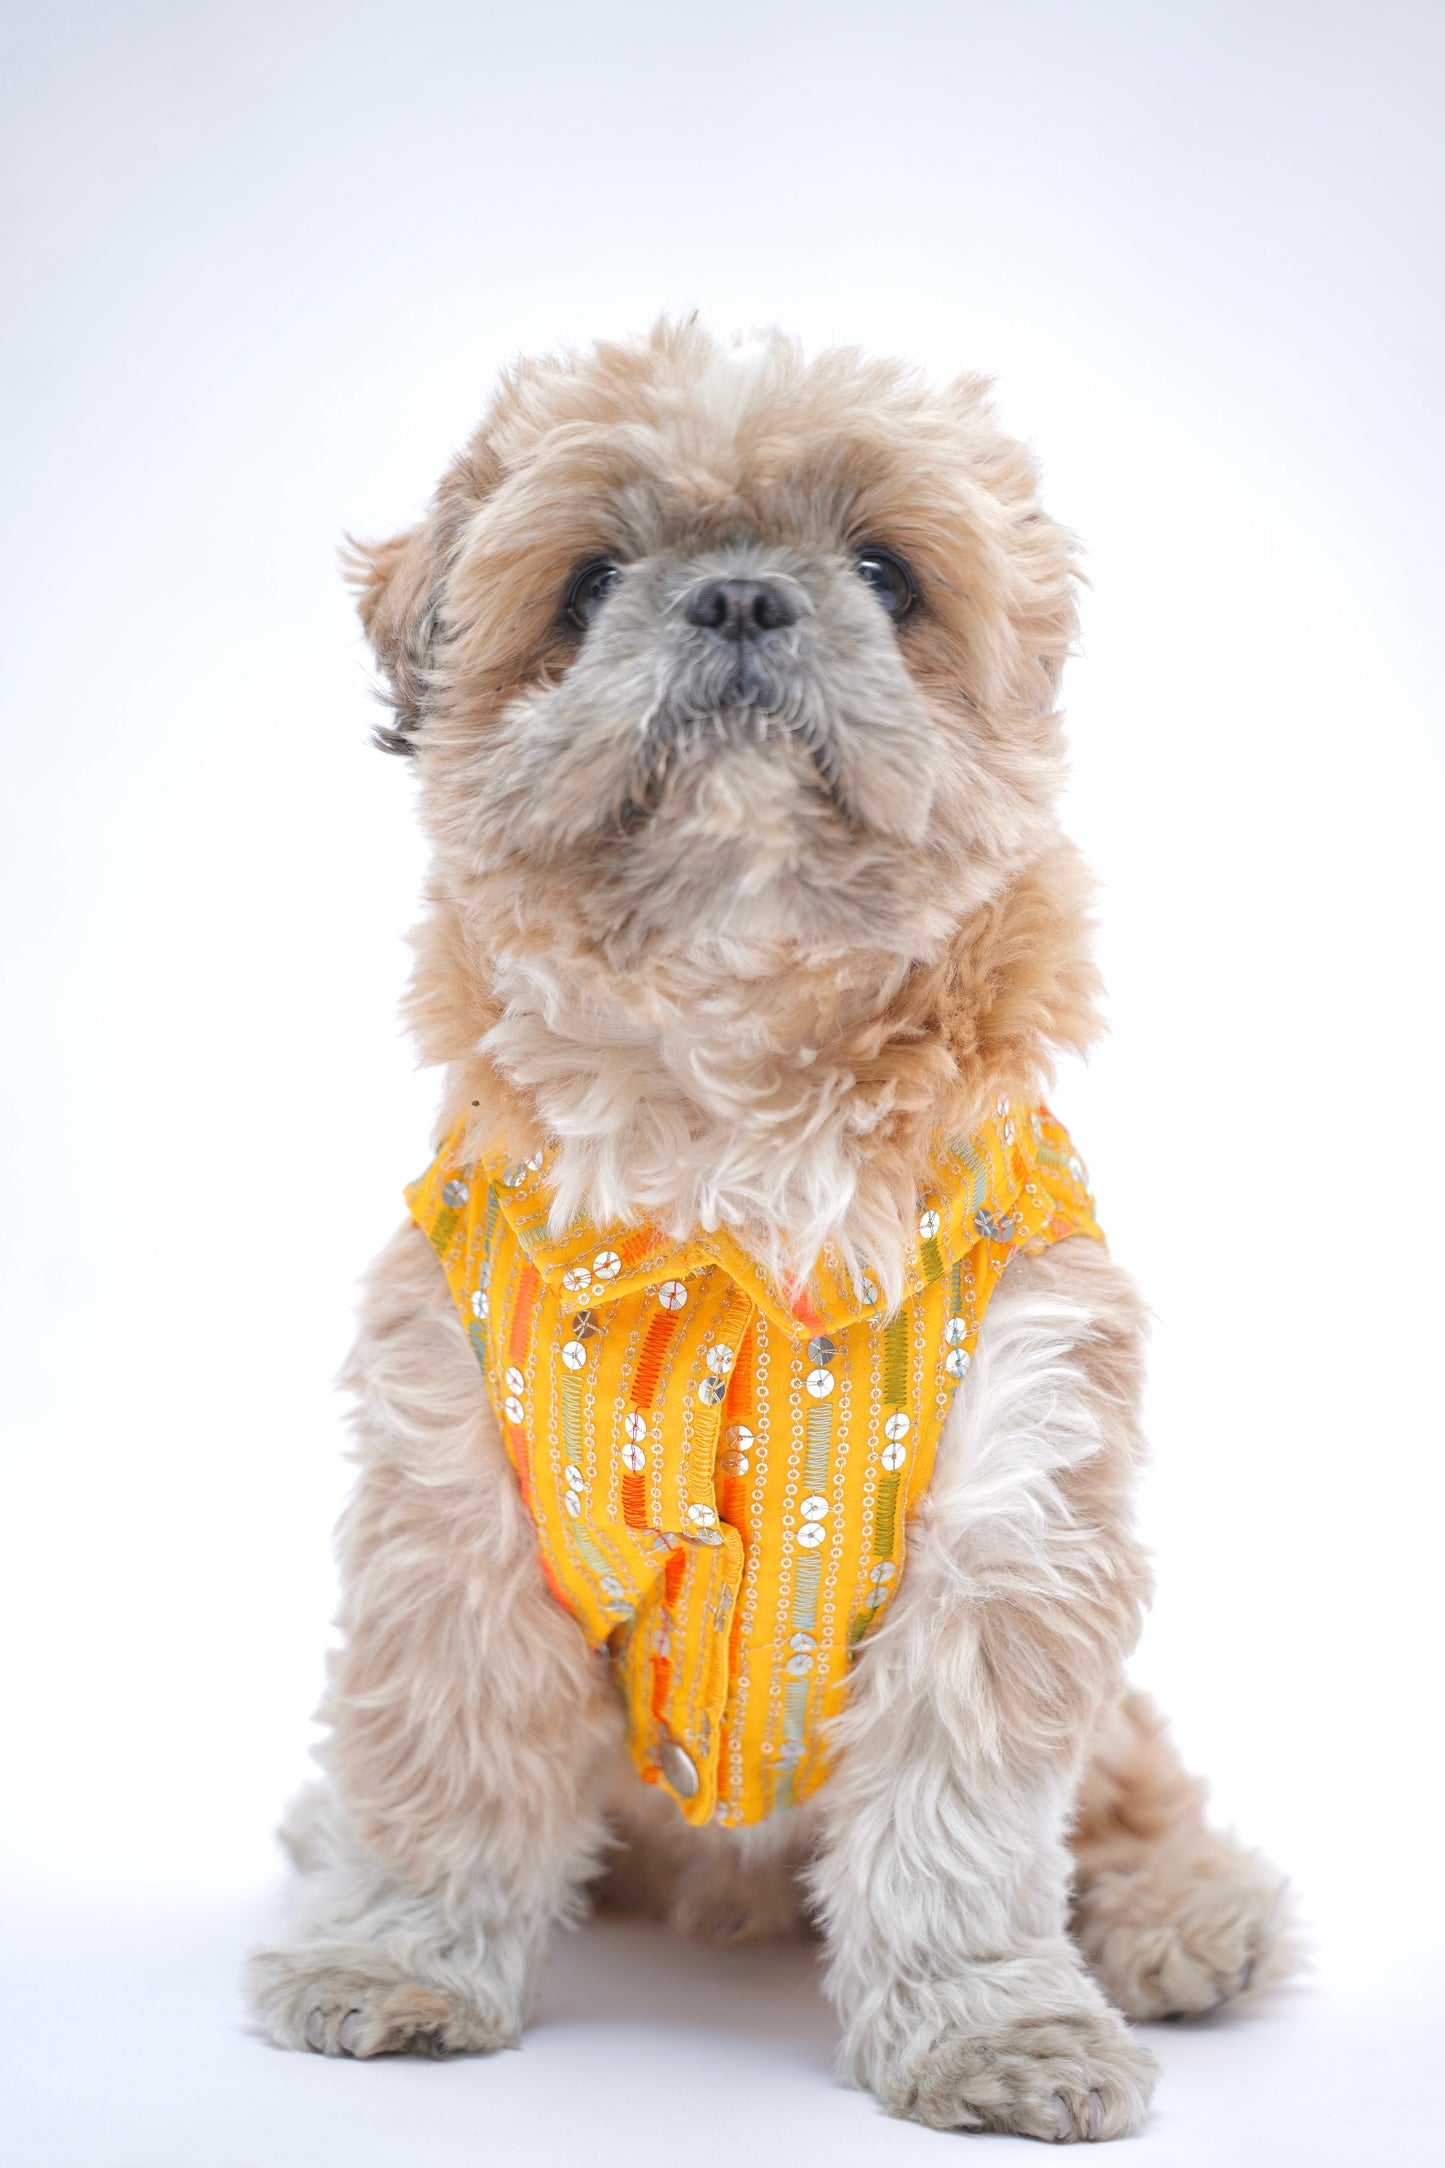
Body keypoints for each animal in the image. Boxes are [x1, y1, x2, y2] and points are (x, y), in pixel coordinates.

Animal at [242, 316, 1291, 2133]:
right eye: (589, 581)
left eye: (886, 569)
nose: (737, 596)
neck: (727, 1150)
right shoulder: (452, 1507)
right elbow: (440, 1762)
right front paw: (397, 1952)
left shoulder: (1014, 1516)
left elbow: (961, 1833)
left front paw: (996, 2029)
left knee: (1138, 1800)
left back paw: (1180, 1920)